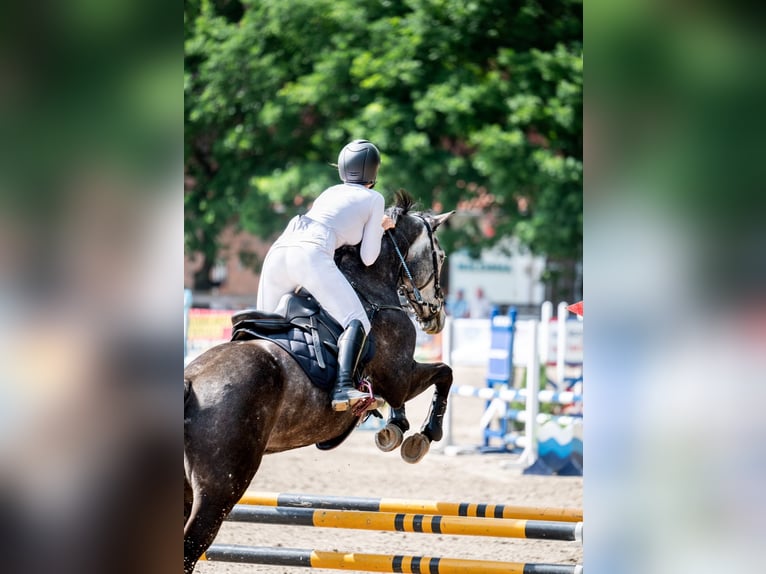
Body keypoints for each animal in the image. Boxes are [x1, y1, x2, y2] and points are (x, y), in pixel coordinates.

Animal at [183, 191, 452, 572]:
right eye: (440, 257)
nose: (436, 317)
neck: (371, 287)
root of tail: (191, 383)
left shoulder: (393, 382)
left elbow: (406, 395)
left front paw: (394, 430)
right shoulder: (399, 376)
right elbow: (444, 372)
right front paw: (423, 435)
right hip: (220, 488)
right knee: (191, 545)